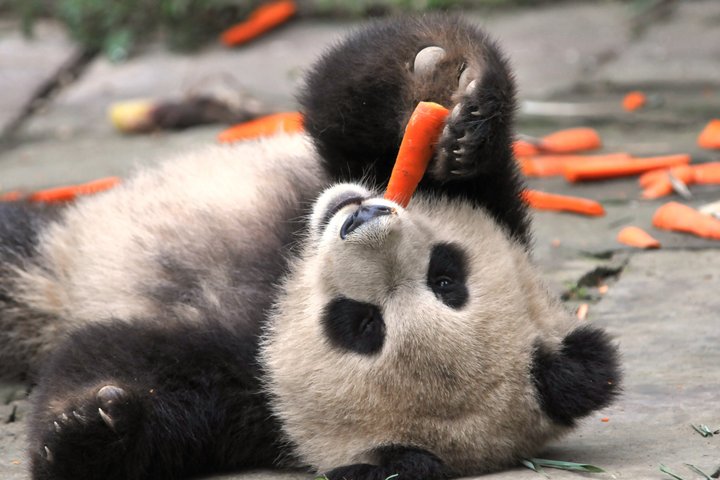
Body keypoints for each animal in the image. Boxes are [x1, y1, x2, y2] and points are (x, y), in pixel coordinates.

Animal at [0, 14, 620, 480]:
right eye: (448, 278)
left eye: (360, 324)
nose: (362, 219)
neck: (281, 279)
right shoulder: (495, 207)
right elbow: (352, 109)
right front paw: (459, 103)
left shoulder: (241, 396)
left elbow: (114, 368)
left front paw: (90, 427)